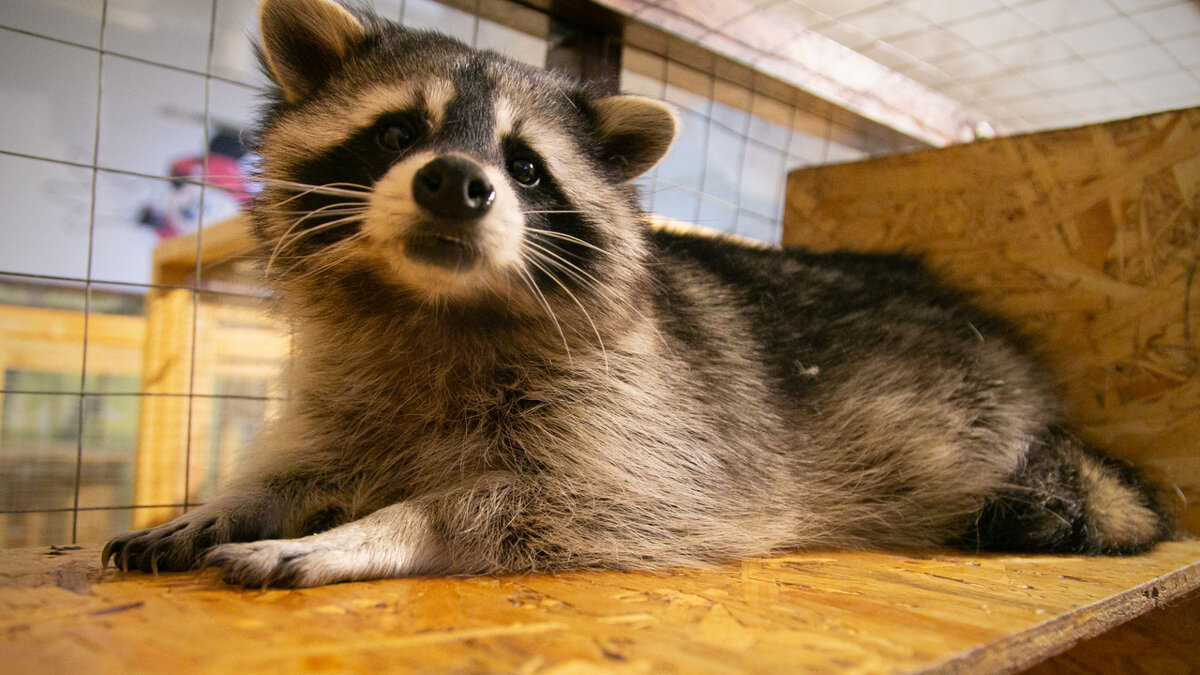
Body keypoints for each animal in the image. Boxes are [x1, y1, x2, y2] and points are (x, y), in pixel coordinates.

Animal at [103, 0, 1171, 586]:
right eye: (398, 131)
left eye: (526, 167)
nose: (456, 183)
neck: (433, 303)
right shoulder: (347, 390)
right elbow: (300, 466)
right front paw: (233, 503)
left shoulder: (655, 438)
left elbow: (537, 503)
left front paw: (378, 527)